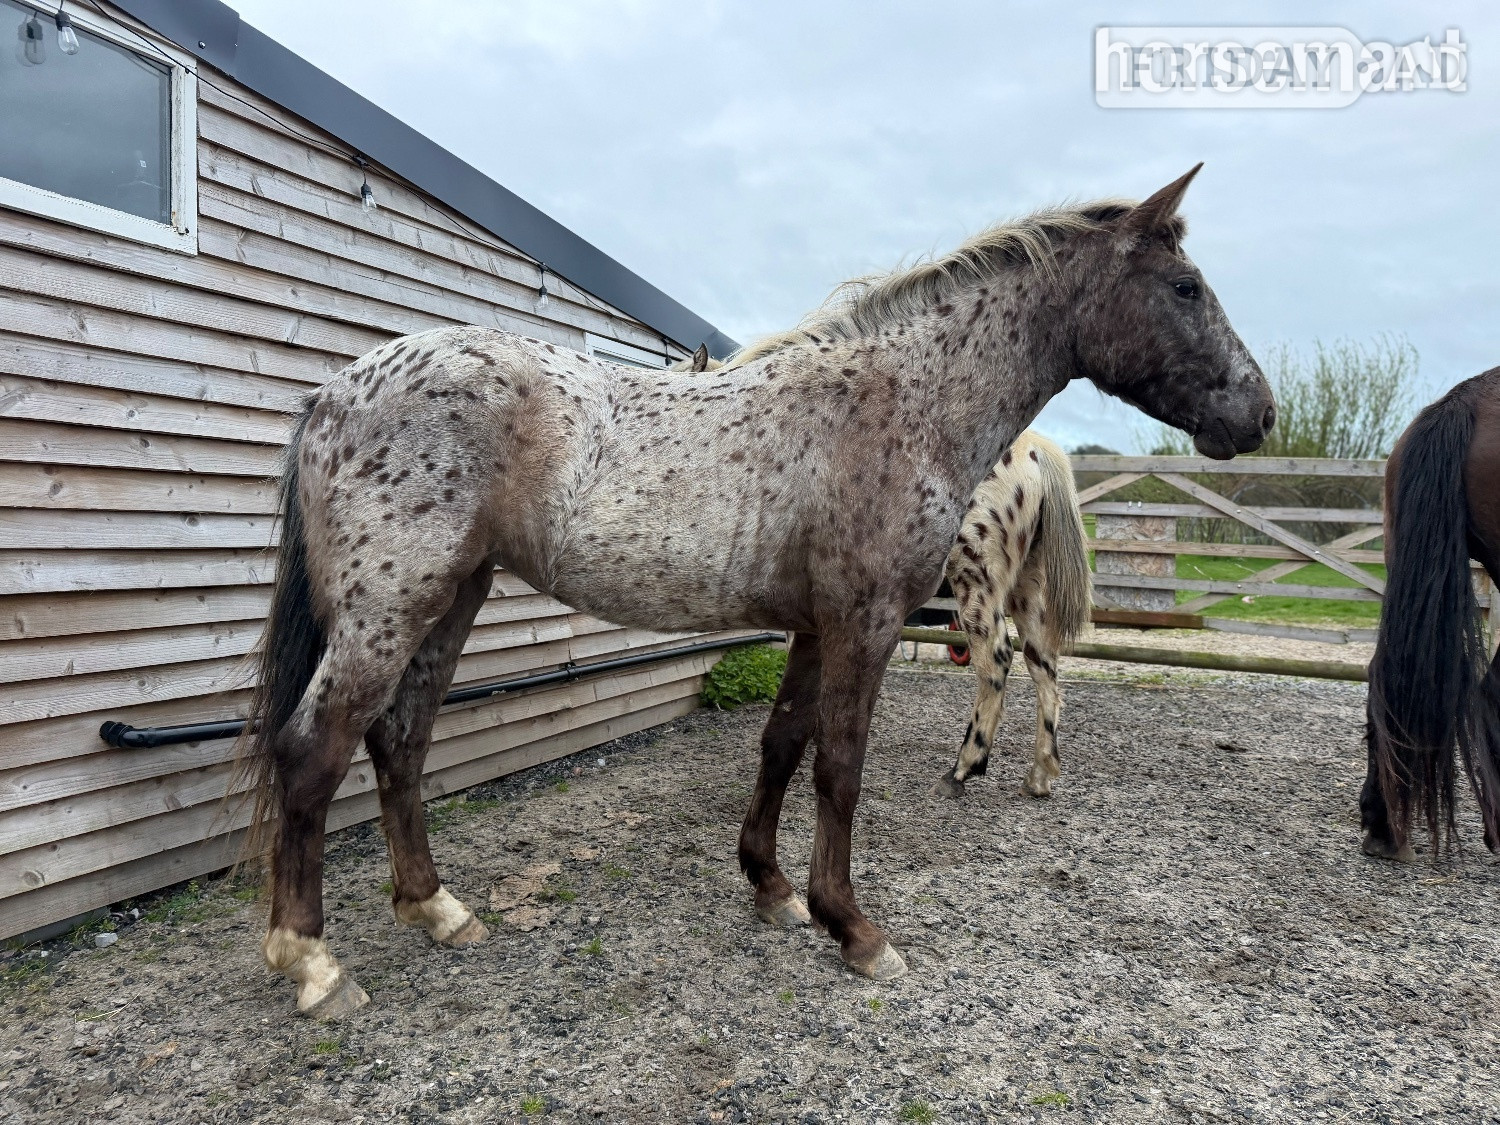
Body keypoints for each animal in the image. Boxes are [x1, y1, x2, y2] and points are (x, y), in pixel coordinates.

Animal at [238, 164, 1275, 1018]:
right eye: (1184, 287)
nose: (1258, 412)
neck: (900, 401)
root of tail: (333, 393)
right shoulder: (865, 623)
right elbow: (839, 765)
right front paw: (855, 928)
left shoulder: (817, 627)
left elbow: (781, 744)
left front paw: (773, 887)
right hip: (389, 611)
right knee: (313, 750)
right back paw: (312, 964)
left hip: (450, 598)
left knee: (400, 739)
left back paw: (436, 908)